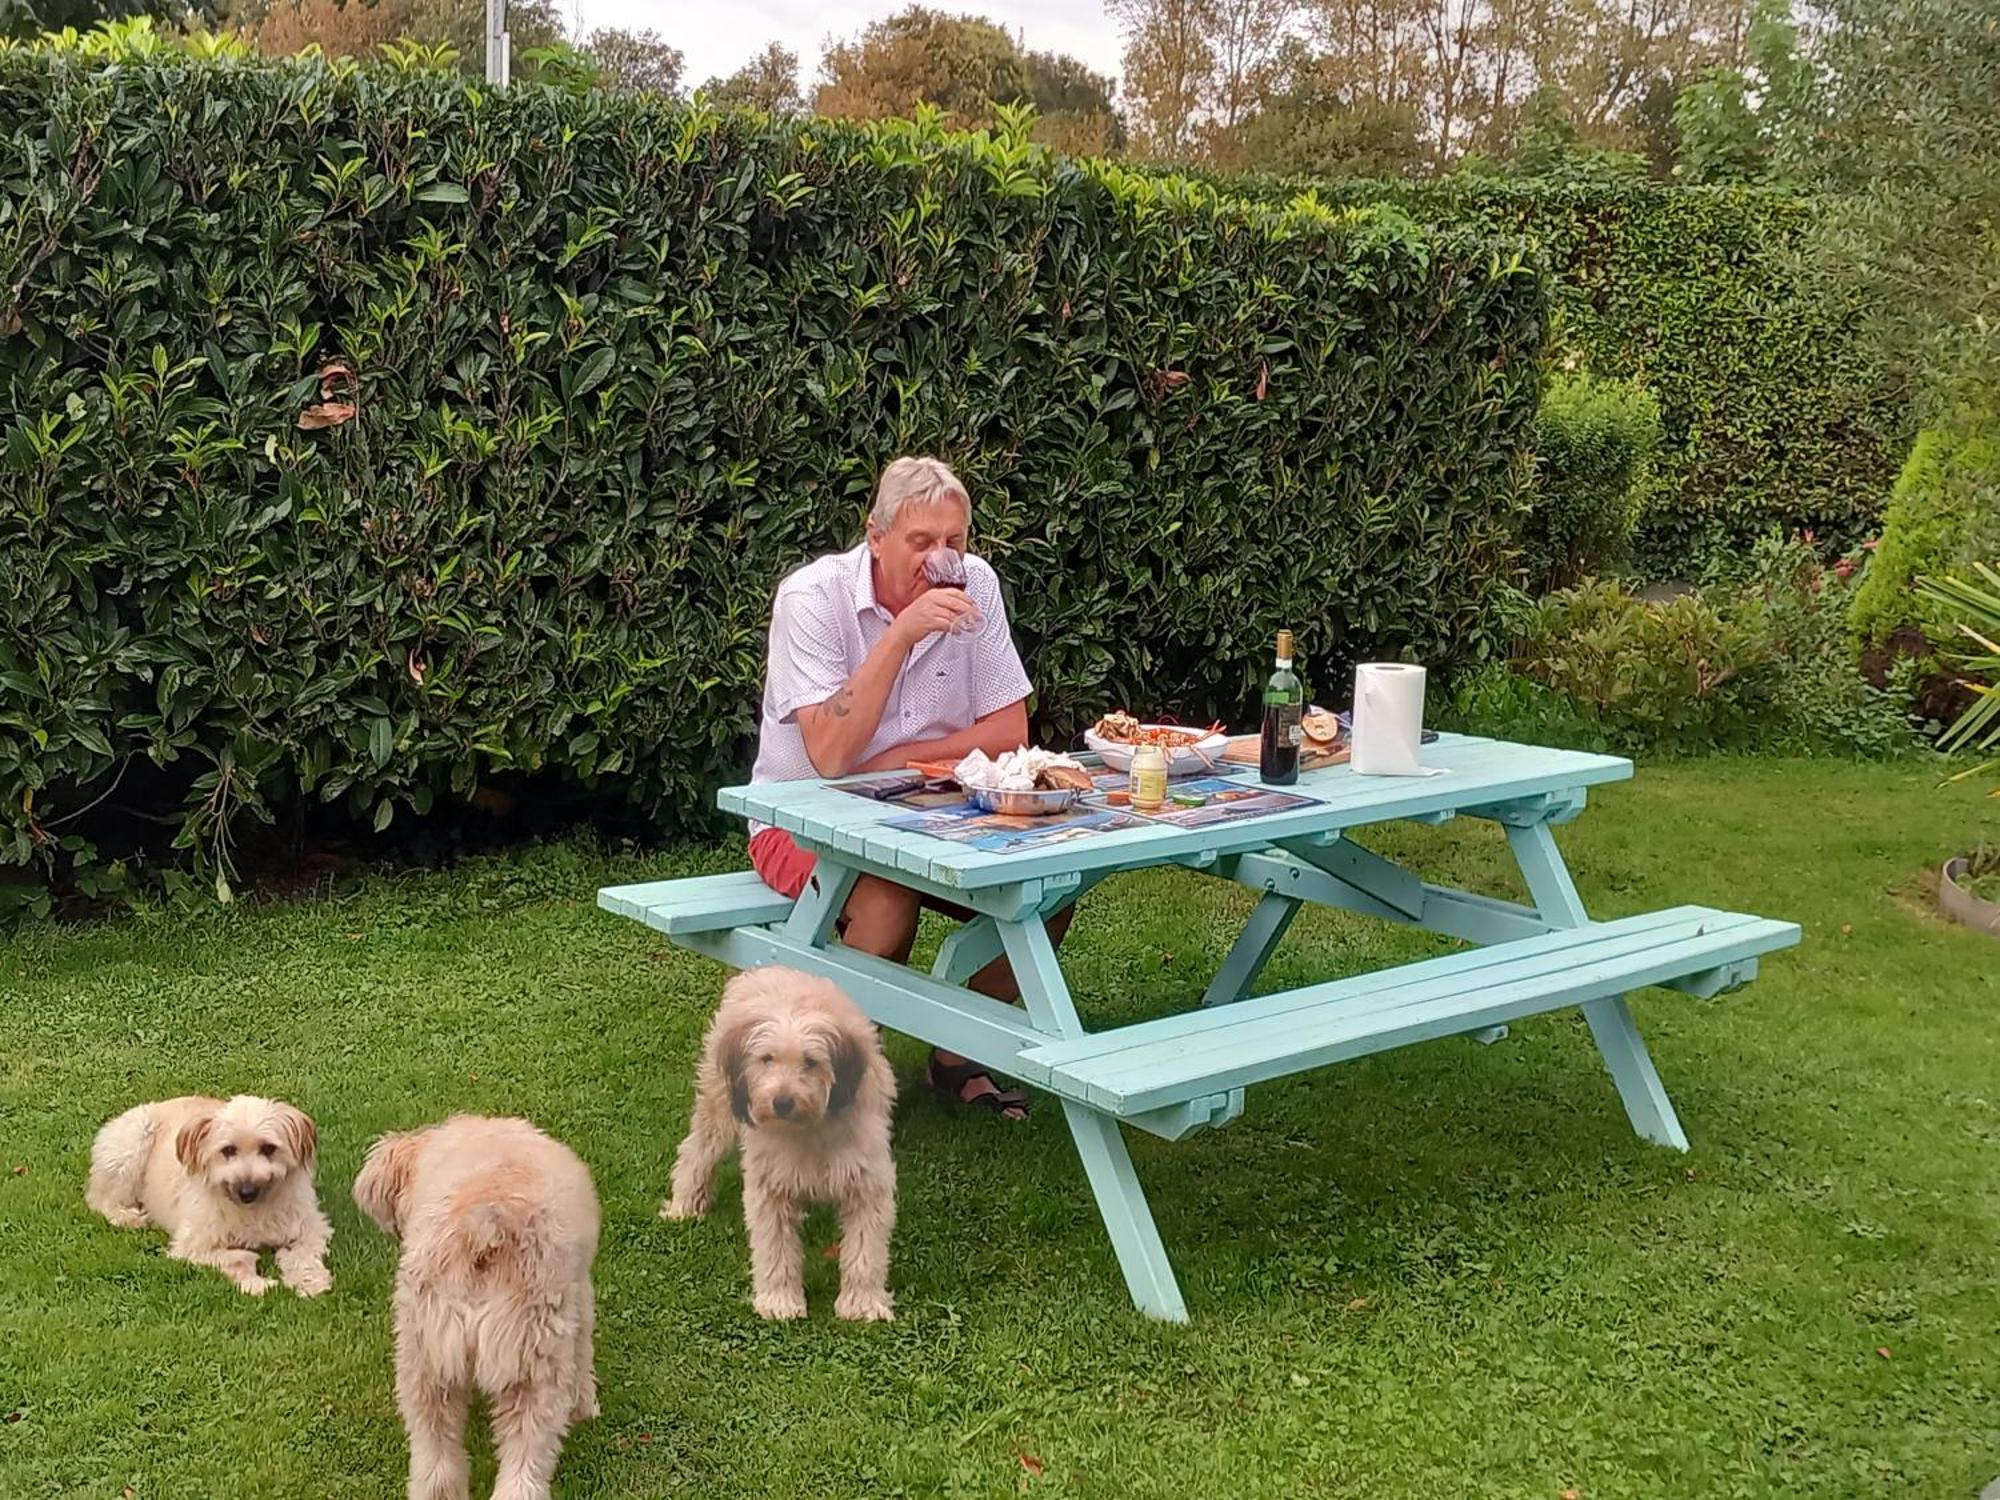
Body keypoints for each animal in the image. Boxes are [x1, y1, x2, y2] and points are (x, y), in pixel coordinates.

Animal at [87, 1096, 332, 1304]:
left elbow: (303, 1256)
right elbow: (238, 1258)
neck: (252, 1211)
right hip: (130, 1149)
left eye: (268, 1148)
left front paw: (311, 1283)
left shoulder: (310, 1229)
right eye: (228, 1150)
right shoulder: (189, 1246)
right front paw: (257, 1283)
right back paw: (131, 1217)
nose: (247, 1191)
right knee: (100, 1201)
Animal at [352, 1120, 600, 1500]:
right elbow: (584, 1354)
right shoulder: (580, 1298)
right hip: (534, 1371)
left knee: (436, 1460)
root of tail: (483, 1228)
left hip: (425, 1366)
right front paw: (585, 1407)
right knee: (523, 1467)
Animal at [664, 968, 900, 1320]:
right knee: (696, 1151)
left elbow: (864, 1252)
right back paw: (685, 1205)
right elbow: (775, 1249)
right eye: (767, 1059)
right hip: (718, 1107)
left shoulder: (868, 1184)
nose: (782, 1102)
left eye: (811, 1062)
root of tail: (764, 969)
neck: (811, 1129)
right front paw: (780, 1302)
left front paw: (862, 1303)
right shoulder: (769, 1186)